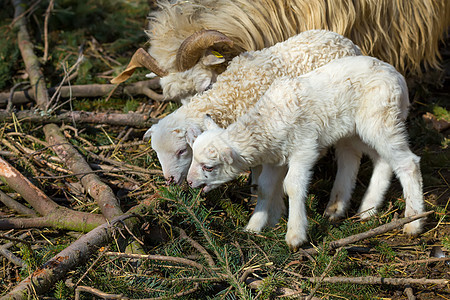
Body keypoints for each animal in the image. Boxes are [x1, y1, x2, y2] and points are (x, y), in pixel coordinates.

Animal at [186, 55, 426, 250]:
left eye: (209, 167)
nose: (189, 182)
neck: (268, 121)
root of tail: (398, 77)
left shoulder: (304, 147)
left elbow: (292, 185)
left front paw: (295, 235)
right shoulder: (275, 158)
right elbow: (264, 187)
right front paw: (254, 227)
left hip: (381, 117)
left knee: (408, 162)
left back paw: (413, 222)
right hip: (357, 130)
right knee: (377, 160)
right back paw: (361, 209)